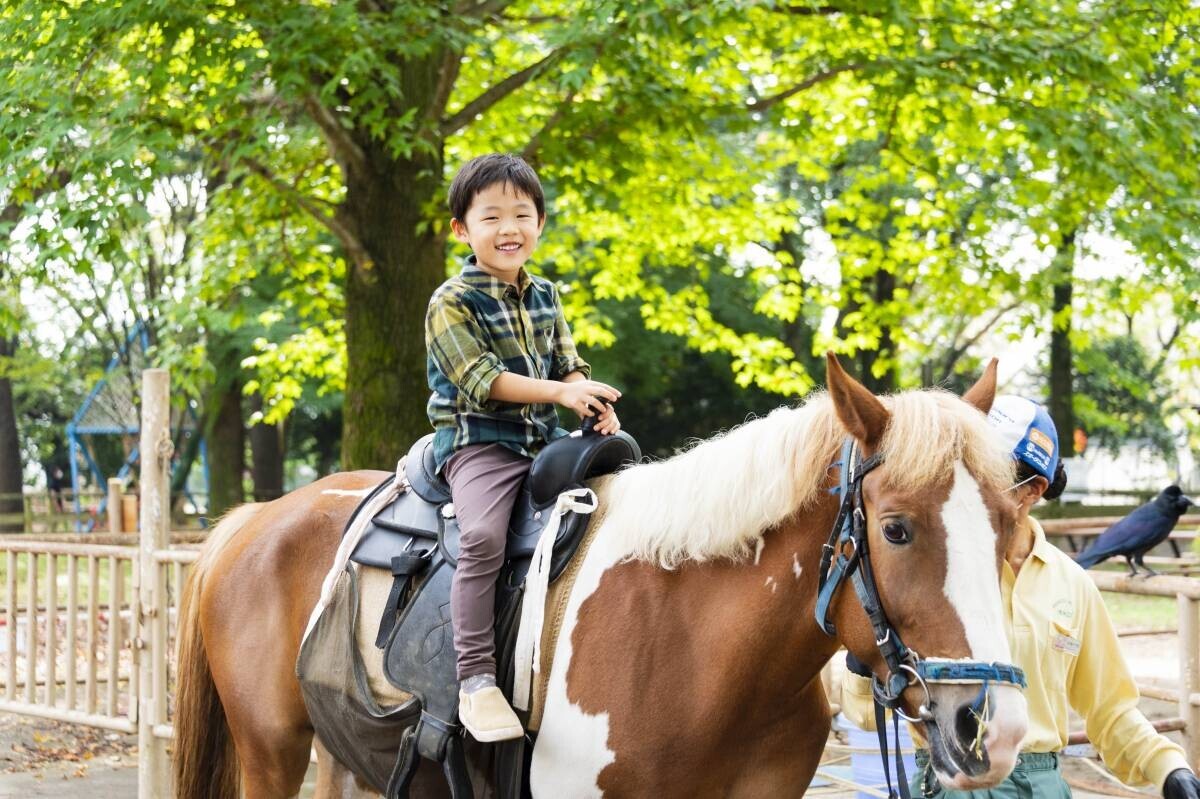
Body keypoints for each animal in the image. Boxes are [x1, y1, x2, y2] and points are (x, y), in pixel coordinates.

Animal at [175, 355, 1032, 796]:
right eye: (896, 528)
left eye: (1016, 535)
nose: (993, 729)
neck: (700, 650)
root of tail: (250, 520)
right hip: (271, 751)